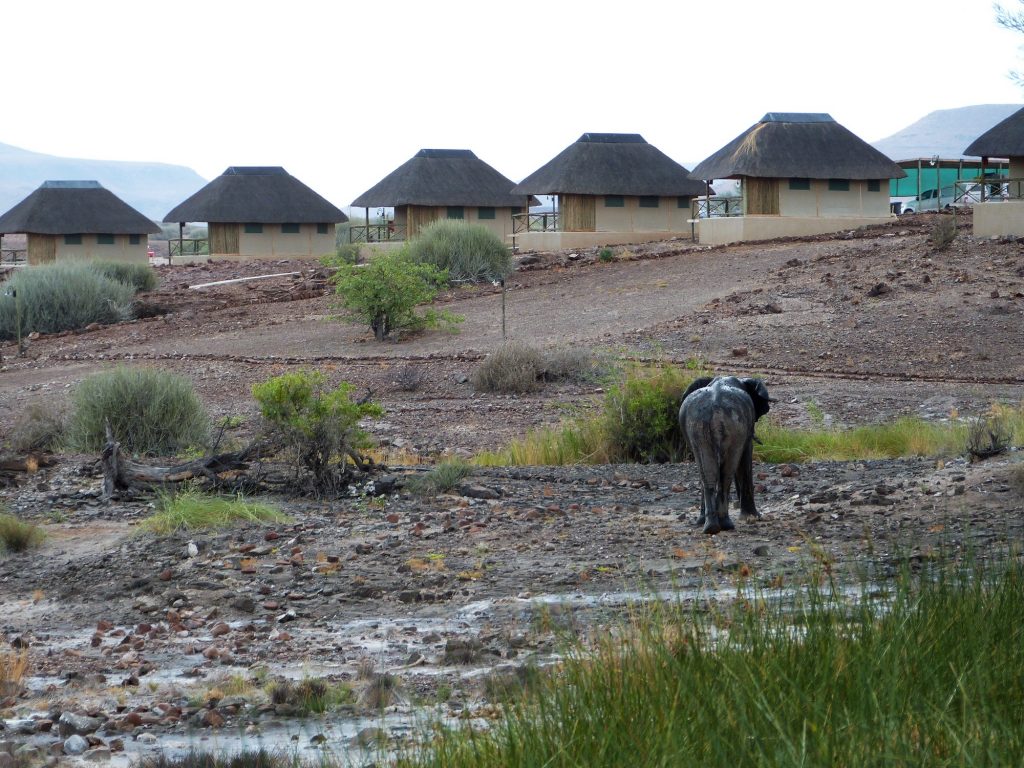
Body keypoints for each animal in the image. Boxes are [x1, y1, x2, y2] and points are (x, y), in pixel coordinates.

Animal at [675, 376, 770, 536]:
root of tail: (716, 409)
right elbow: (745, 458)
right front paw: (753, 517)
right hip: (735, 428)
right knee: (726, 473)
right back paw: (725, 524)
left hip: (699, 427)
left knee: (707, 474)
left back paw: (711, 527)